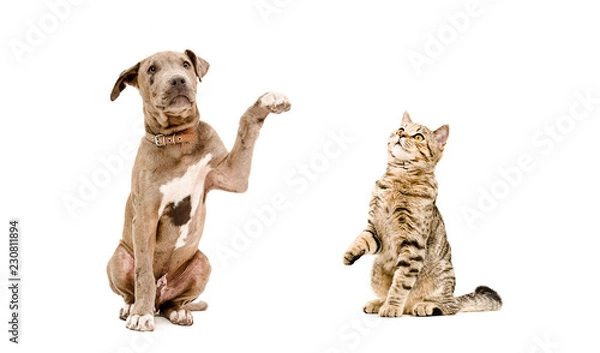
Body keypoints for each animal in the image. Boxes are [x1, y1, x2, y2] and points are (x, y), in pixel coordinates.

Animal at [106, 48, 290, 330]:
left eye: (185, 64)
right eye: (151, 69)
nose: (178, 80)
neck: (177, 139)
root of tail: (160, 299)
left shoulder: (232, 175)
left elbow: (246, 128)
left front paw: (267, 101)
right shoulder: (145, 216)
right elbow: (143, 273)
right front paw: (141, 315)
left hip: (202, 263)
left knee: (174, 302)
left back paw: (178, 312)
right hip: (118, 257)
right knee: (133, 289)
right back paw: (133, 308)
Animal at [342, 110, 502, 316]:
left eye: (418, 137)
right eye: (401, 129)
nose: (401, 134)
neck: (398, 180)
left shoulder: (412, 243)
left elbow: (400, 283)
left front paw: (392, 306)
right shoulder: (375, 229)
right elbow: (363, 239)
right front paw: (349, 254)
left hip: (443, 274)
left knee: (449, 306)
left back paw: (425, 305)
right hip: (376, 268)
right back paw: (378, 303)